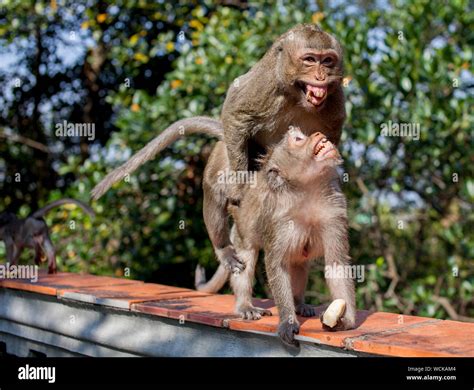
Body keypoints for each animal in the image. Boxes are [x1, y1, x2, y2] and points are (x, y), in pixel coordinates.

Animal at [90, 23, 346, 284]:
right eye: (310, 60)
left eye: (327, 61)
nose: (321, 76)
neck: (297, 96)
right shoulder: (266, 83)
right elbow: (236, 112)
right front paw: (241, 188)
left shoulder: (335, 100)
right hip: (229, 152)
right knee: (216, 184)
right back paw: (223, 247)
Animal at [196, 129, 356, 348]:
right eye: (298, 139)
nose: (317, 133)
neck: (307, 189)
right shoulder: (279, 219)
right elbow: (276, 265)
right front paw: (287, 322)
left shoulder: (335, 211)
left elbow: (336, 263)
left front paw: (345, 320)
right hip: (241, 228)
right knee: (247, 255)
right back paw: (245, 305)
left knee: (299, 263)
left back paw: (298, 303)